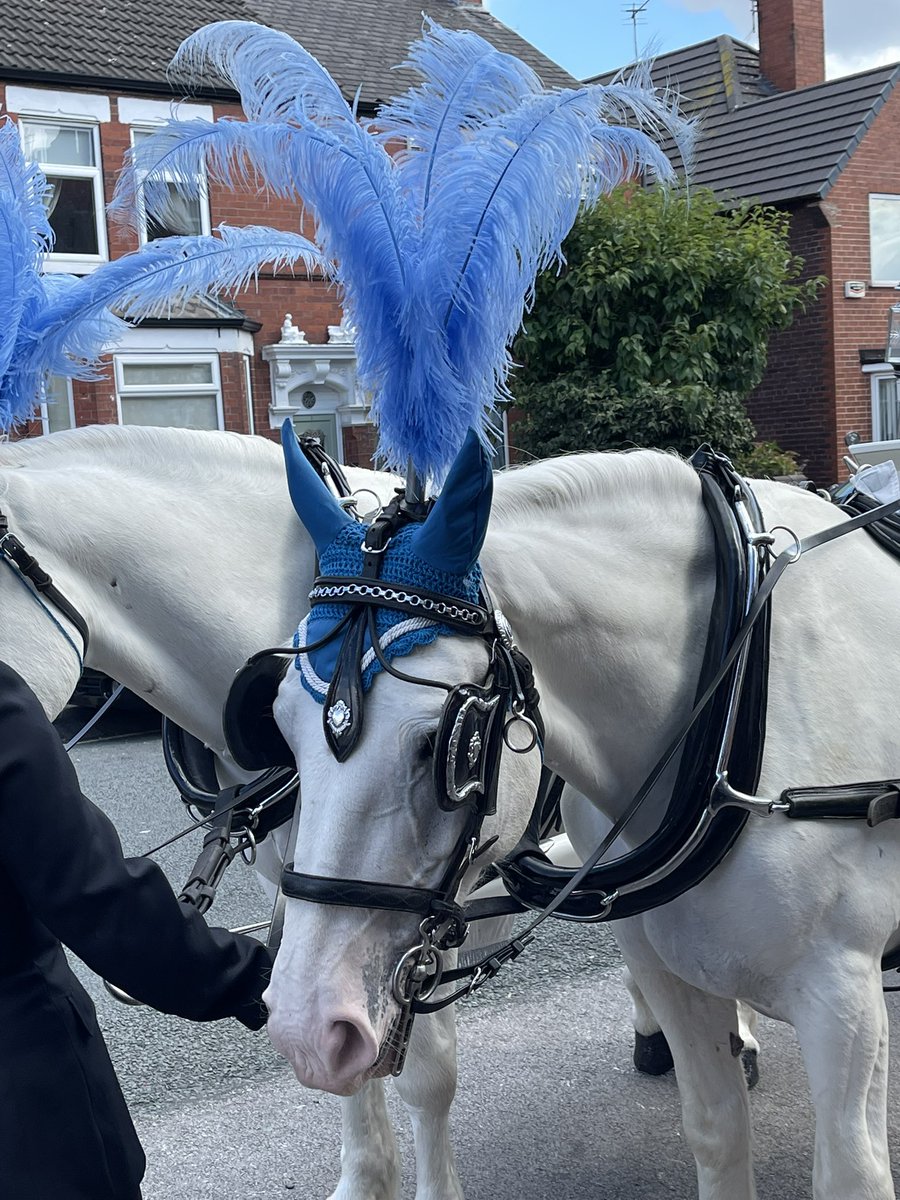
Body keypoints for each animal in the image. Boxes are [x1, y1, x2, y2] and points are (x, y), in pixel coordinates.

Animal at [268, 434, 900, 1200]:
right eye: (278, 720)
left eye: (439, 742)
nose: (305, 1030)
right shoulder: (671, 973)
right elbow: (718, 1132)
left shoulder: (843, 997)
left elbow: (852, 1174)